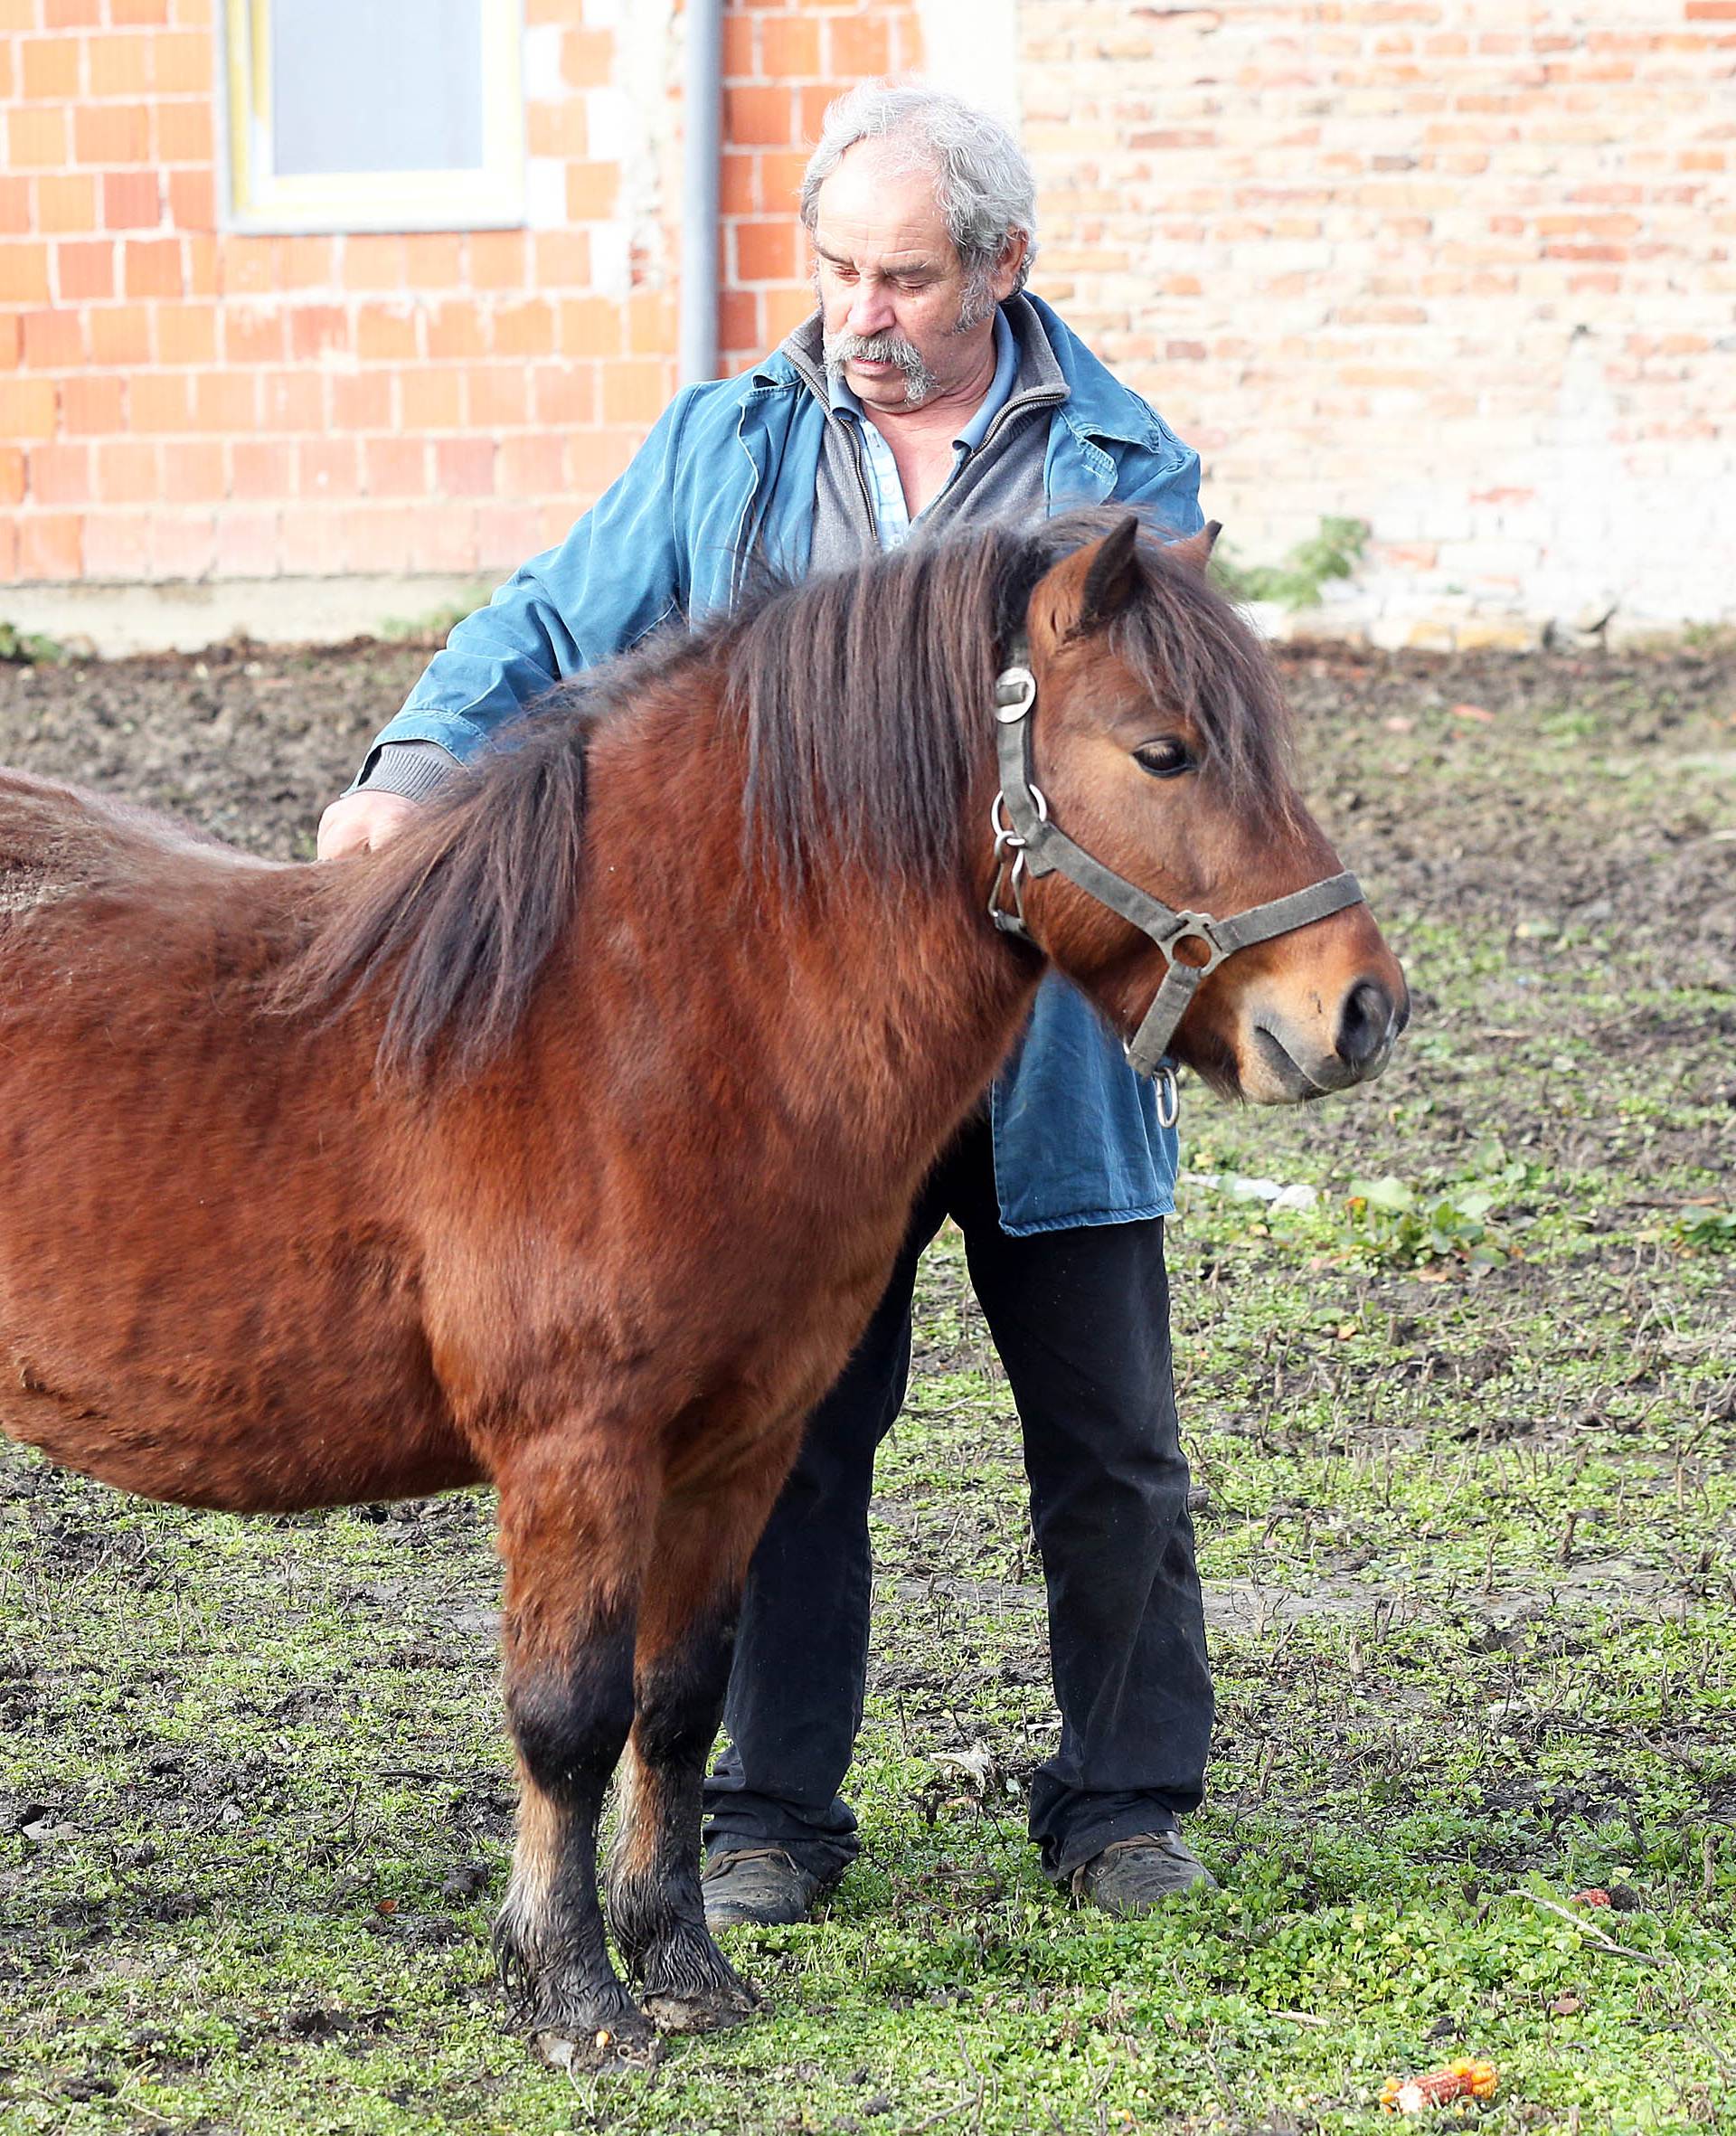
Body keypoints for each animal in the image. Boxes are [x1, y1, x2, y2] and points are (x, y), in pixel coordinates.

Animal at [0, 516, 1401, 2067]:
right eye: (1165, 751)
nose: (1361, 1008)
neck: (630, 1021)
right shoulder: (576, 1453)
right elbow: (566, 1716)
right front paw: (572, 1991)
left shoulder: (738, 1448)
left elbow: (676, 1704)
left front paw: (680, 1962)